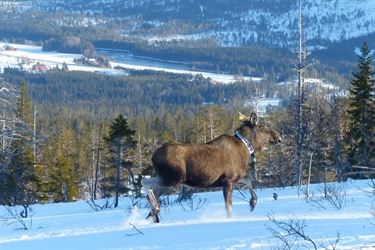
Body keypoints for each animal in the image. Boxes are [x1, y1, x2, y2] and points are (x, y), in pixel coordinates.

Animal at [142, 112, 282, 222]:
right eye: (262, 127)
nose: (279, 137)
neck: (246, 150)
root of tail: (153, 156)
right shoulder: (228, 180)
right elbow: (229, 208)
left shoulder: (236, 177)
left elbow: (248, 179)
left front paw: (252, 203)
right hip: (174, 178)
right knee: (146, 183)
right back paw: (155, 209)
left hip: (167, 180)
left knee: (151, 192)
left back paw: (154, 215)